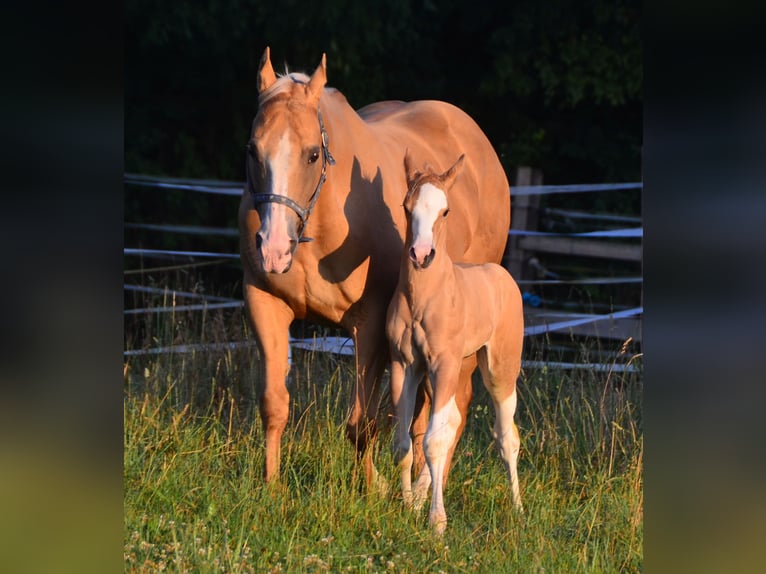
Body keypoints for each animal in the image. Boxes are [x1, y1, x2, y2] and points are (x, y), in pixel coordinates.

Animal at [240, 50, 512, 490]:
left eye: (312, 154)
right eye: (252, 149)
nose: (274, 248)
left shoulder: (369, 326)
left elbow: (361, 423)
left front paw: (370, 491)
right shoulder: (265, 304)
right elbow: (274, 405)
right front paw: (271, 487)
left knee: (449, 409)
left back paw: (424, 487)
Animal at [388, 155, 524, 536]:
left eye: (445, 211)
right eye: (406, 207)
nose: (421, 255)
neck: (423, 298)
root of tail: (502, 274)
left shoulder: (444, 363)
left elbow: (433, 441)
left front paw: (437, 524)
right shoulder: (404, 364)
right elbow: (403, 442)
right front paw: (407, 507)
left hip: (499, 371)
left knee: (507, 436)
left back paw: (518, 509)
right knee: (452, 421)